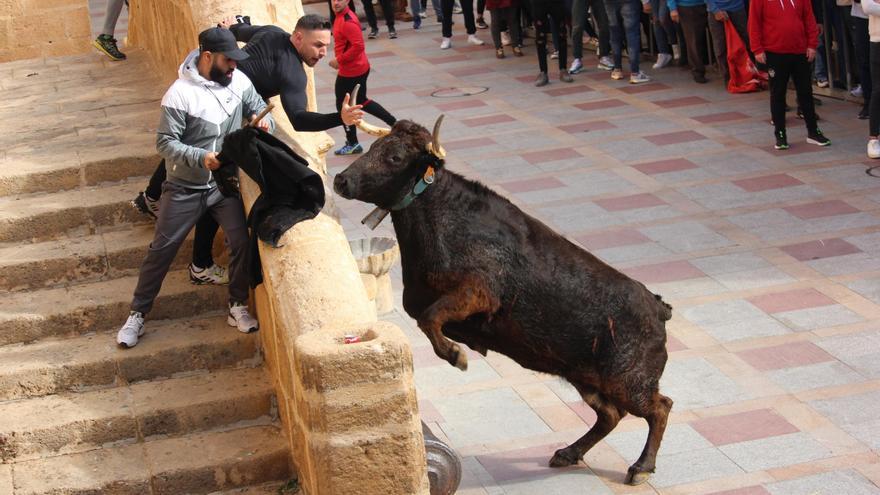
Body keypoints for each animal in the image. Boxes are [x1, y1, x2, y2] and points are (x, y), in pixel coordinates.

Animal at [336, 117, 672, 484]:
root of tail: (659, 308)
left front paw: (457, 356)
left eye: (395, 157)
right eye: (373, 147)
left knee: (660, 407)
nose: (340, 180)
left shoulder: (479, 292)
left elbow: (431, 317)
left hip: (628, 382)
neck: (441, 214)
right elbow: (427, 317)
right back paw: (569, 453)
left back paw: (641, 467)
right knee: (610, 415)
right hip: (585, 377)